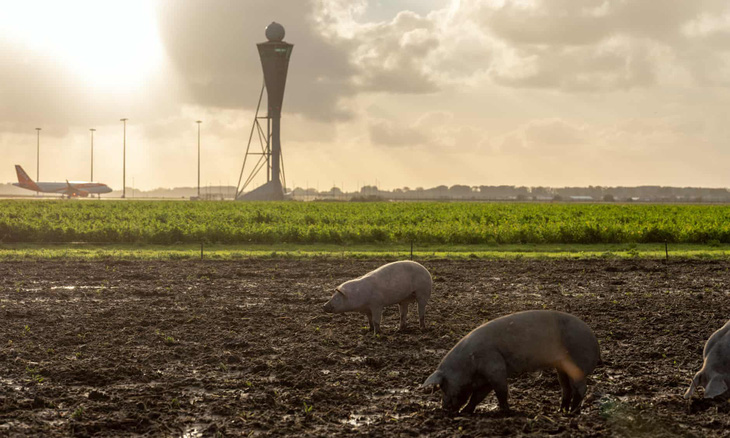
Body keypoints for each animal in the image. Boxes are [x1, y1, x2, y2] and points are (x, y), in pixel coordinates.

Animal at [420, 310, 596, 416]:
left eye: (443, 386)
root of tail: (595, 341)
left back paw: (573, 413)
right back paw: (561, 411)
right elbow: (478, 396)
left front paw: (507, 411)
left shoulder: (494, 366)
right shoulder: (485, 378)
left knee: (581, 388)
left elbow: (501, 391)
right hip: (562, 367)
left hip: (578, 364)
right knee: (566, 388)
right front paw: (465, 412)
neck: (468, 363)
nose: (444, 408)